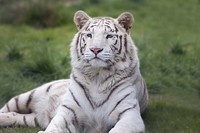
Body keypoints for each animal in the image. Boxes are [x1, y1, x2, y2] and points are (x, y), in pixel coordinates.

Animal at [0, 10, 148, 133]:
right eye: (89, 35)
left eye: (109, 36)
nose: (95, 49)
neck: (98, 76)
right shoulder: (68, 112)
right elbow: (54, 127)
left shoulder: (130, 115)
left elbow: (118, 130)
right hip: (25, 97)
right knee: (7, 109)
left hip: (33, 118)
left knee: (16, 115)